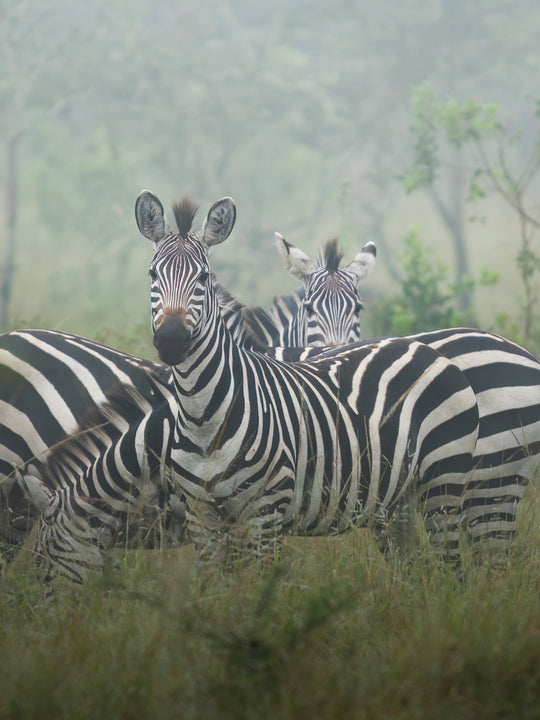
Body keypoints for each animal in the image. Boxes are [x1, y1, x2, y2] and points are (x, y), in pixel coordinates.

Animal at [131, 191, 480, 568]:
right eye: (152, 274)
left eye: (204, 278)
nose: (171, 339)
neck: (204, 416)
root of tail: (423, 348)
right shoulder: (201, 515)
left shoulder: (265, 511)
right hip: (398, 498)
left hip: (445, 482)